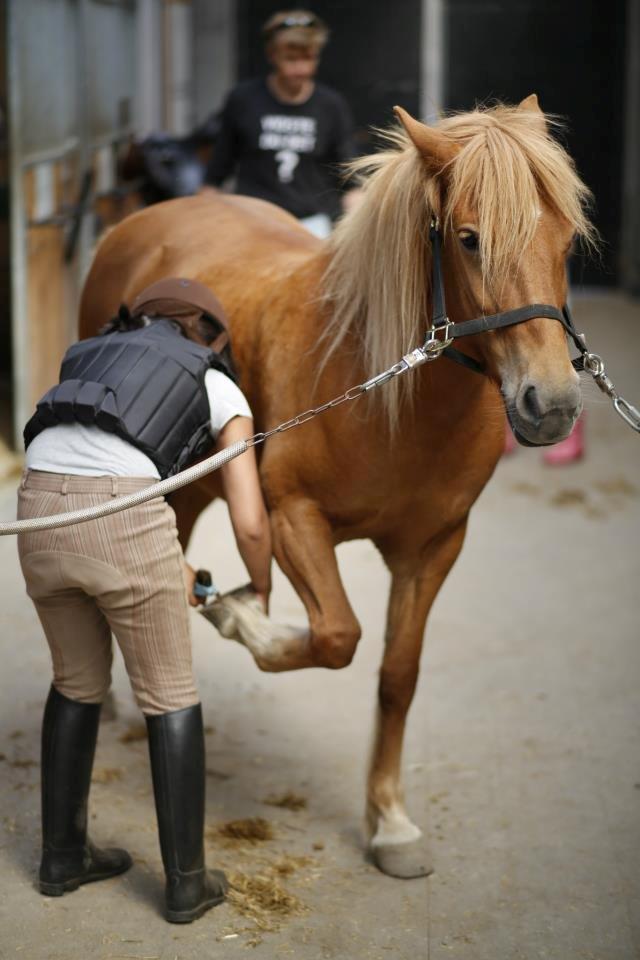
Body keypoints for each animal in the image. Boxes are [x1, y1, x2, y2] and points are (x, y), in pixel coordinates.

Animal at [79, 97, 596, 876]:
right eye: (469, 240)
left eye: (566, 240)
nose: (553, 405)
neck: (385, 390)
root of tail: (140, 224)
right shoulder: (293, 518)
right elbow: (334, 635)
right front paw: (247, 622)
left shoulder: (434, 547)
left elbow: (396, 674)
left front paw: (390, 822)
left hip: (192, 486)